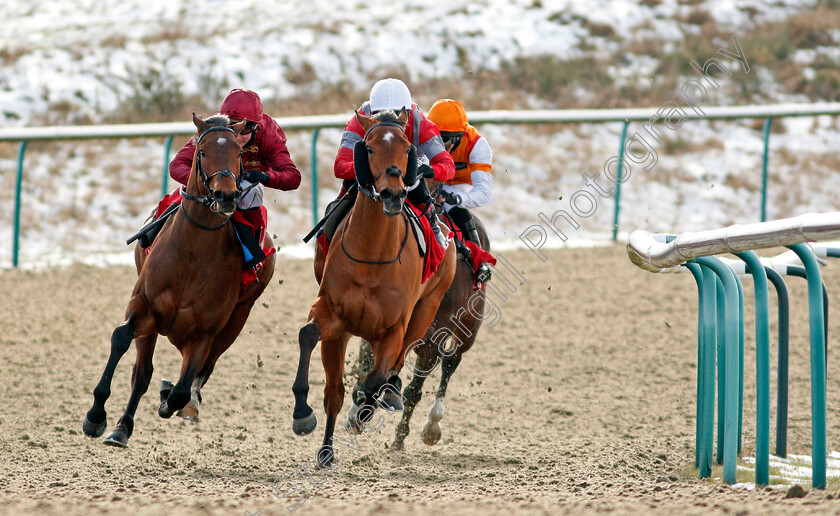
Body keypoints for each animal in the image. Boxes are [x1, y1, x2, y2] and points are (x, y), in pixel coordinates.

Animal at [81, 113, 274, 448]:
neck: (192, 252)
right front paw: (96, 416)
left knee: (201, 371)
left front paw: (170, 399)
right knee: (142, 372)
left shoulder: (205, 332)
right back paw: (122, 427)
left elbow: (183, 387)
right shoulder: (143, 305)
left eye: (238, 152)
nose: (226, 196)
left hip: (236, 319)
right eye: (202, 151)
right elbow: (121, 339)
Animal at [294, 109, 456, 468]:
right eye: (367, 148)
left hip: (426, 310)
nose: (392, 194)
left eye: (407, 148)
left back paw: (384, 399)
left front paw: (364, 411)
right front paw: (308, 423)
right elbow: (313, 346)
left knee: (396, 364)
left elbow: (376, 379)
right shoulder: (333, 317)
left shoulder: (394, 328)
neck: (373, 256)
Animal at [350, 197, 492, 448]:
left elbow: (413, 391)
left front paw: (399, 439)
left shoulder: (432, 345)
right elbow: (366, 368)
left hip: (468, 331)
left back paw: (432, 425)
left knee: (451, 362)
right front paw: (357, 413)